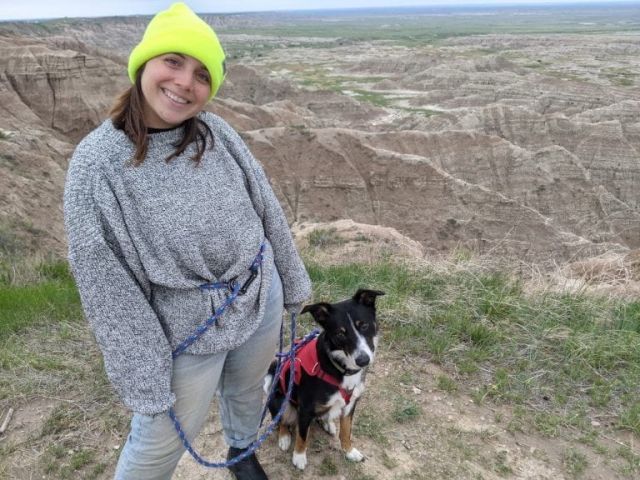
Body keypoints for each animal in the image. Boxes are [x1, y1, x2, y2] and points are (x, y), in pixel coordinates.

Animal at [264, 288, 384, 468]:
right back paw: (284, 438)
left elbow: (346, 431)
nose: (363, 360)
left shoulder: (351, 404)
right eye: (340, 333)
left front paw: (349, 451)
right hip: (281, 401)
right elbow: (302, 435)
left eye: (364, 325)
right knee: (281, 421)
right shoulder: (305, 409)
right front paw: (299, 457)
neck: (340, 368)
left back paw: (328, 424)